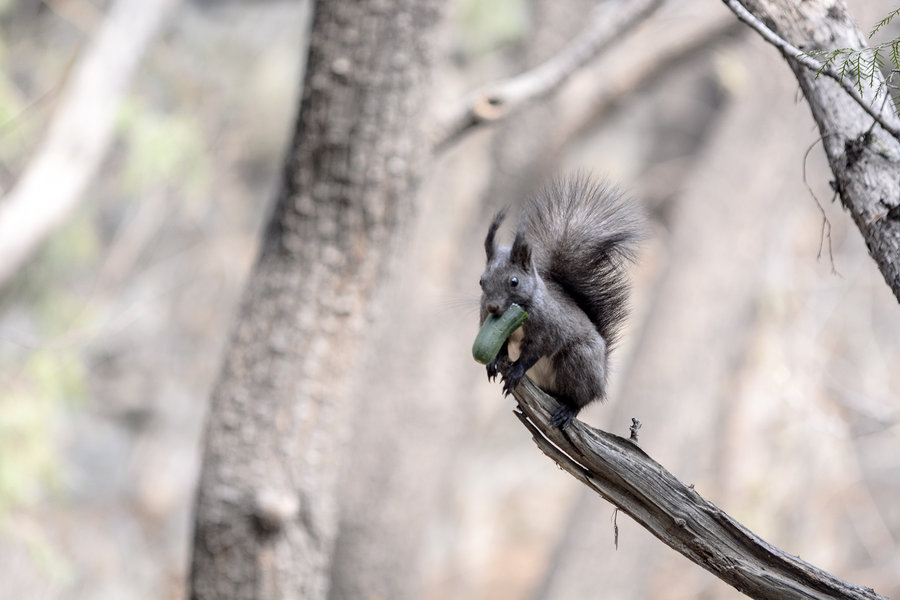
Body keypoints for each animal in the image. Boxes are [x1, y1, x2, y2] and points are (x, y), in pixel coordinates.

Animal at [478, 173, 640, 426]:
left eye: (514, 281)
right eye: (481, 281)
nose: (493, 307)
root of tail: (602, 375)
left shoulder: (549, 329)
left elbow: (535, 351)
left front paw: (515, 371)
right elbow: (501, 346)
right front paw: (495, 362)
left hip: (579, 360)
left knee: (581, 399)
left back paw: (568, 409)